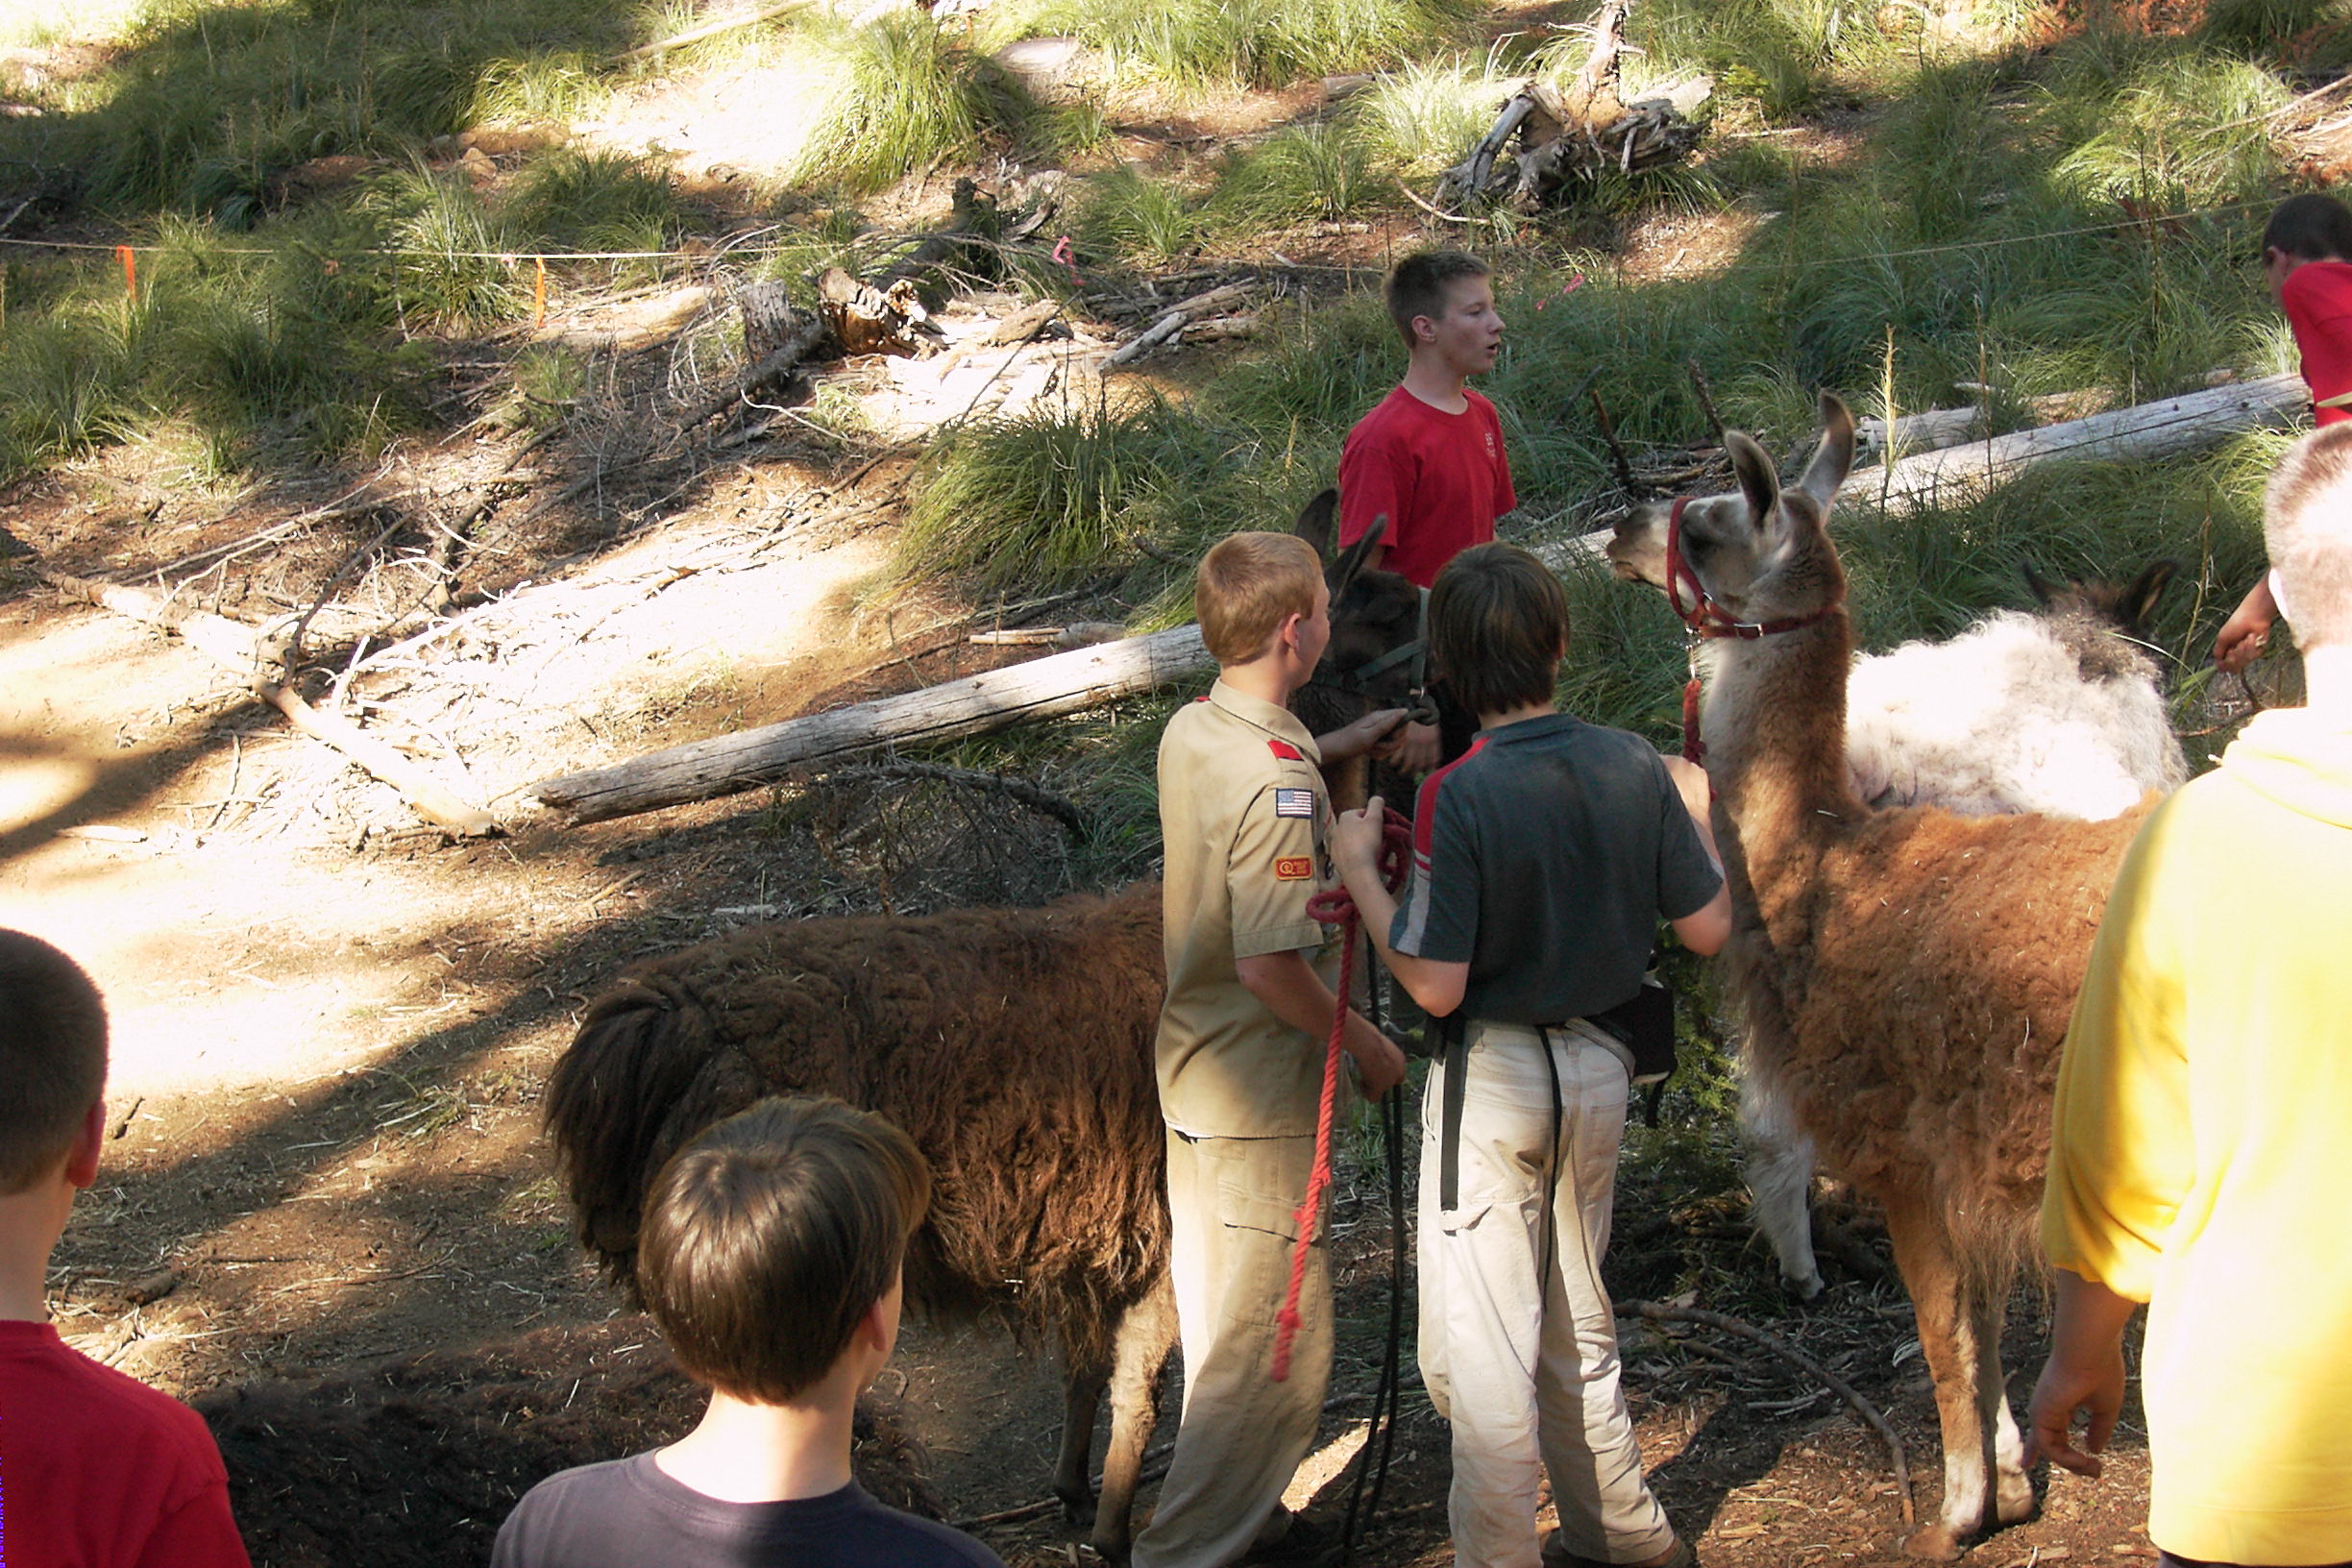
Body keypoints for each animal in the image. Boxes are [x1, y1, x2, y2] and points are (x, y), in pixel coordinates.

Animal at [1607, 393, 2151, 1559]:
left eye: (1708, 524)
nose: (1625, 526)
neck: (1822, 869)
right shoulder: (1963, 1162)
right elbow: (1981, 1327)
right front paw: (2011, 1482)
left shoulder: (1902, 1146)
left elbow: (1944, 1334)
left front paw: (1953, 1513)